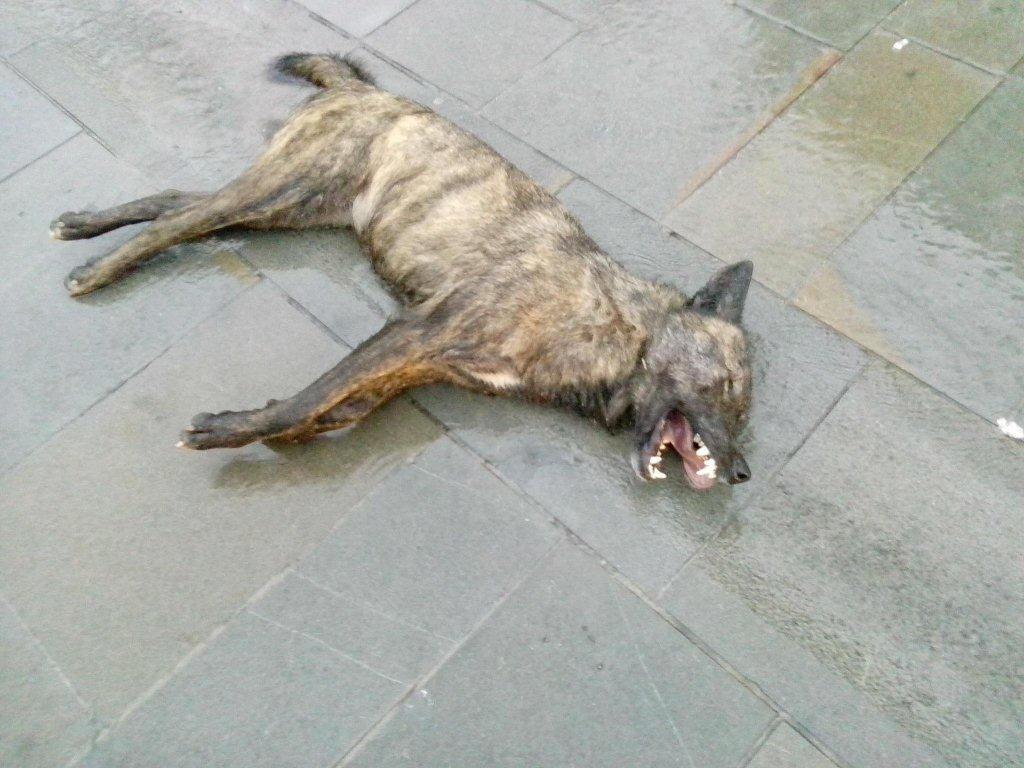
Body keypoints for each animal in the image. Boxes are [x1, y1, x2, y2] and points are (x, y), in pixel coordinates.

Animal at [50, 53, 753, 490]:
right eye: (727, 389)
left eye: (742, 408)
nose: (742, 473)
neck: (615, 325)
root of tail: (358, 86)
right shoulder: (413, 332)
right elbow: (310, 398)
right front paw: (231, 430)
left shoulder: (417, 362)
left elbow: (331, 408)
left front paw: (278, 425)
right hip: (288, 186)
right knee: (181, 221)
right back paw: (97, 268)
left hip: (292, 206)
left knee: (181, 206)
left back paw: (84, 226)